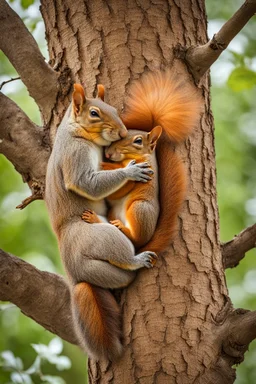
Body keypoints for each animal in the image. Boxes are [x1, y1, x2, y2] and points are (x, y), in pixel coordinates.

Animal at [44, 82, 158, 362]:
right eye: (94, 113)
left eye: (114, 108)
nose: (123, 131)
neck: (74, 133)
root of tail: (74, 273)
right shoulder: (75, 155)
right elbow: (86, 183)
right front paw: (130, 170)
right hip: (103, 237)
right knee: (123, 255)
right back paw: (137, 260)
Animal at [81, 70, 201, 254]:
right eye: (121, 136)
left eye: (138, 141)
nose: (108, 153)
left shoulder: (143, 173)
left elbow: (121, 187)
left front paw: (105, 165)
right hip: (114, 212)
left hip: (140, 208)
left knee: (134, 239)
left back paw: (123, 229)